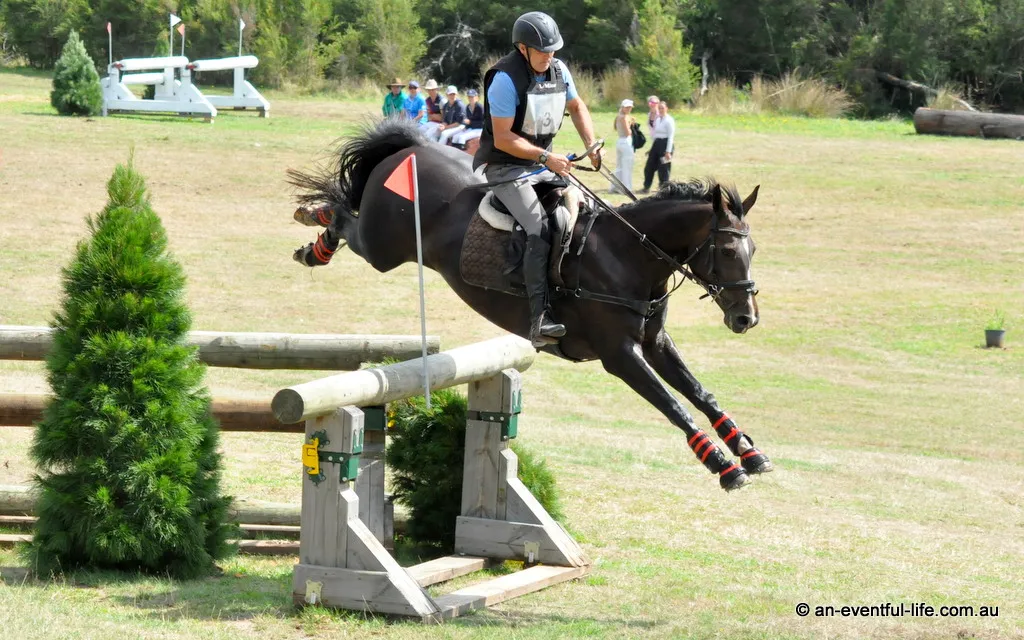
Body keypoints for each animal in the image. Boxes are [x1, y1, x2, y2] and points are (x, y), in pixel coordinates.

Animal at [288, 119, 771, 491]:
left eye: (753, 251)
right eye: (728, 251)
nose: (745, 318)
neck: (628, 256)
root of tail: (413, 147)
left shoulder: (655, 342)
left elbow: (700, 393)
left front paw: (748, 452)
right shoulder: (620, 355)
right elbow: (674, 405)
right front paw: (722, 466)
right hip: (383, 248)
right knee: (345, 218)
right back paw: (315, 235)